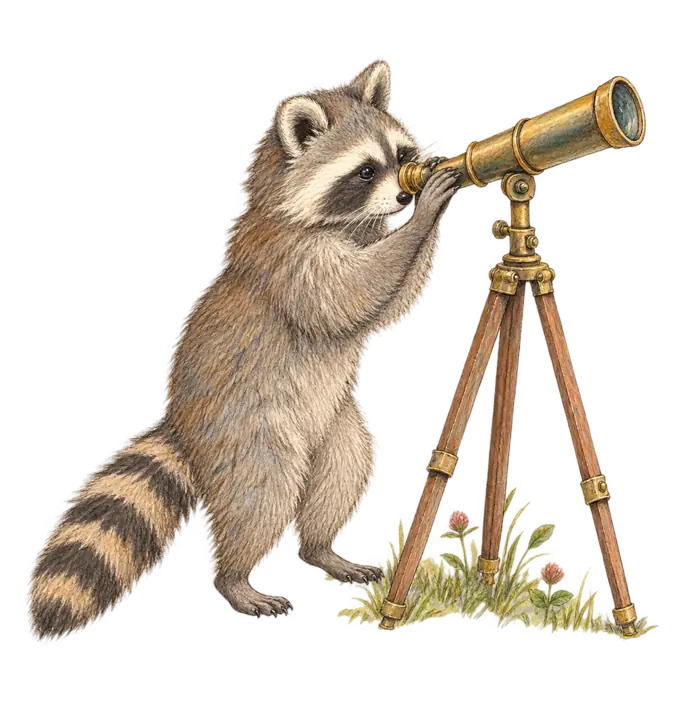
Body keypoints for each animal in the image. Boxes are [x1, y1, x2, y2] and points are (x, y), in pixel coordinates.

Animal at [25, 56, 462, 644]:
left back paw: (321, 547)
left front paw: (431, 210)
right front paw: (421, 219)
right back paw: (234, 578)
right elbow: (351, 294)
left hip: (332, 430)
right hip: (247, 434)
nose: (403, 196)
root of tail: (181, 428)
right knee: (260, 498)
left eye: (400, 156)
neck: (336, 221)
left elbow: (388, 309)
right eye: (366, 172)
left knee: (347, 463)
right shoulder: (287, 260)